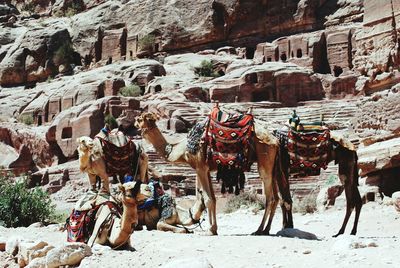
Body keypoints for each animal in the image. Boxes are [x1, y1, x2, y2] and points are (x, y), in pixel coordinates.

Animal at [136, 110, 292, 236]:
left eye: (140, 119)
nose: (137, 124)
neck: (180, 149)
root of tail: (275, 140)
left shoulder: (200, 167)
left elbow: (208, 198)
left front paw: (210, 230)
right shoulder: (206, 169)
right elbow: (212, 198)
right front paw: (211, 228)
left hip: (265, 159)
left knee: (270, 198)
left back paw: (259, 230)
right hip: (273, 166)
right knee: (277, 198)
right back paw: (266, 229)